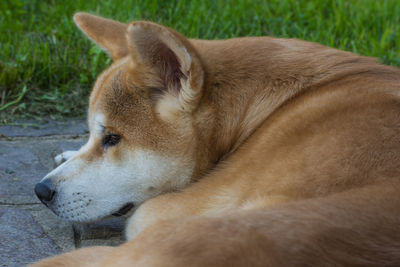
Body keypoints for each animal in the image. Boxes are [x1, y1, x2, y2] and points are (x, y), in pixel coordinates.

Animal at [32, 12, 400, 266]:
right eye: (95, 134)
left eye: (112, 138)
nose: (41, 191)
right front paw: (69, 153)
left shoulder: (164, 210)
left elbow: (139, 213)